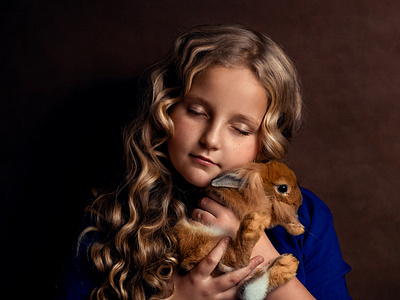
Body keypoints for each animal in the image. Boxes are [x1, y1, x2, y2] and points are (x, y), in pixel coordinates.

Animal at [173, 162, 304, 300]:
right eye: (283, 188)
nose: (299, 201)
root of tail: (186, 264)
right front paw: (297, 228)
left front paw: (299, 228)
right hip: (200, 239)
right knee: (235, 262)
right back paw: (256, 222)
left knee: (248, 287)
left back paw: (288, 265)